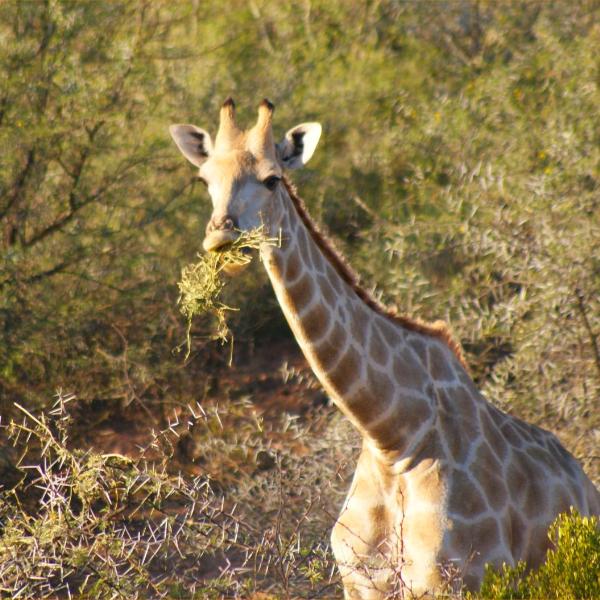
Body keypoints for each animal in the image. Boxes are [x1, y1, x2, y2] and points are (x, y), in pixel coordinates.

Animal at [169, 97, 600, 596]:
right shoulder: (360, 581)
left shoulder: (458, 580)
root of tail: (588, 487)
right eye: (205, 180)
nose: (221, 234)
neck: (393, 438)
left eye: (272, 178)